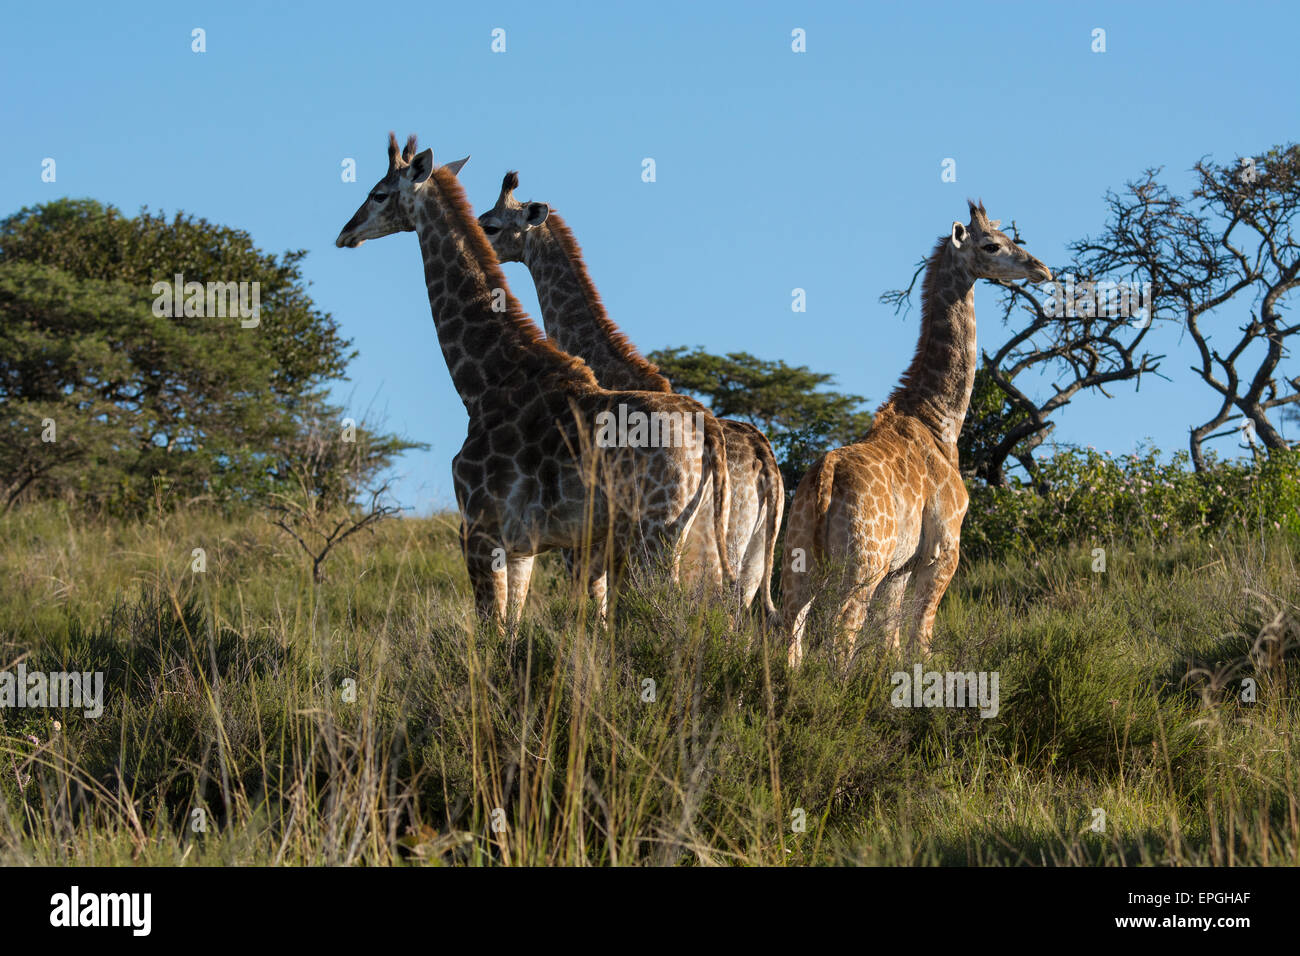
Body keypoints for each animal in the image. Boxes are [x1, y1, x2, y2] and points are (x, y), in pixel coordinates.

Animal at [335, 136, 738, 629]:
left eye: (377, 193)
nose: (345, 233)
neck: (485, 380)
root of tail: (710, 432)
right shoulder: (523, 548)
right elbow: (512, 627)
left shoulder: (479, 531)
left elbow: (492, 632)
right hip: (703, 536)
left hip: (656, 532)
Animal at [774, 199, 1050, 671]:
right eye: (991, 245)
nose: (1042, 269)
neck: (939, 419)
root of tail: (825, 478)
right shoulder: (945, 546)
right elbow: (921, 634)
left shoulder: (900, 567)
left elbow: (890, 639)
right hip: (863, 567)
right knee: (841, 635)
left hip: (799, 564)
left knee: (791, 634)